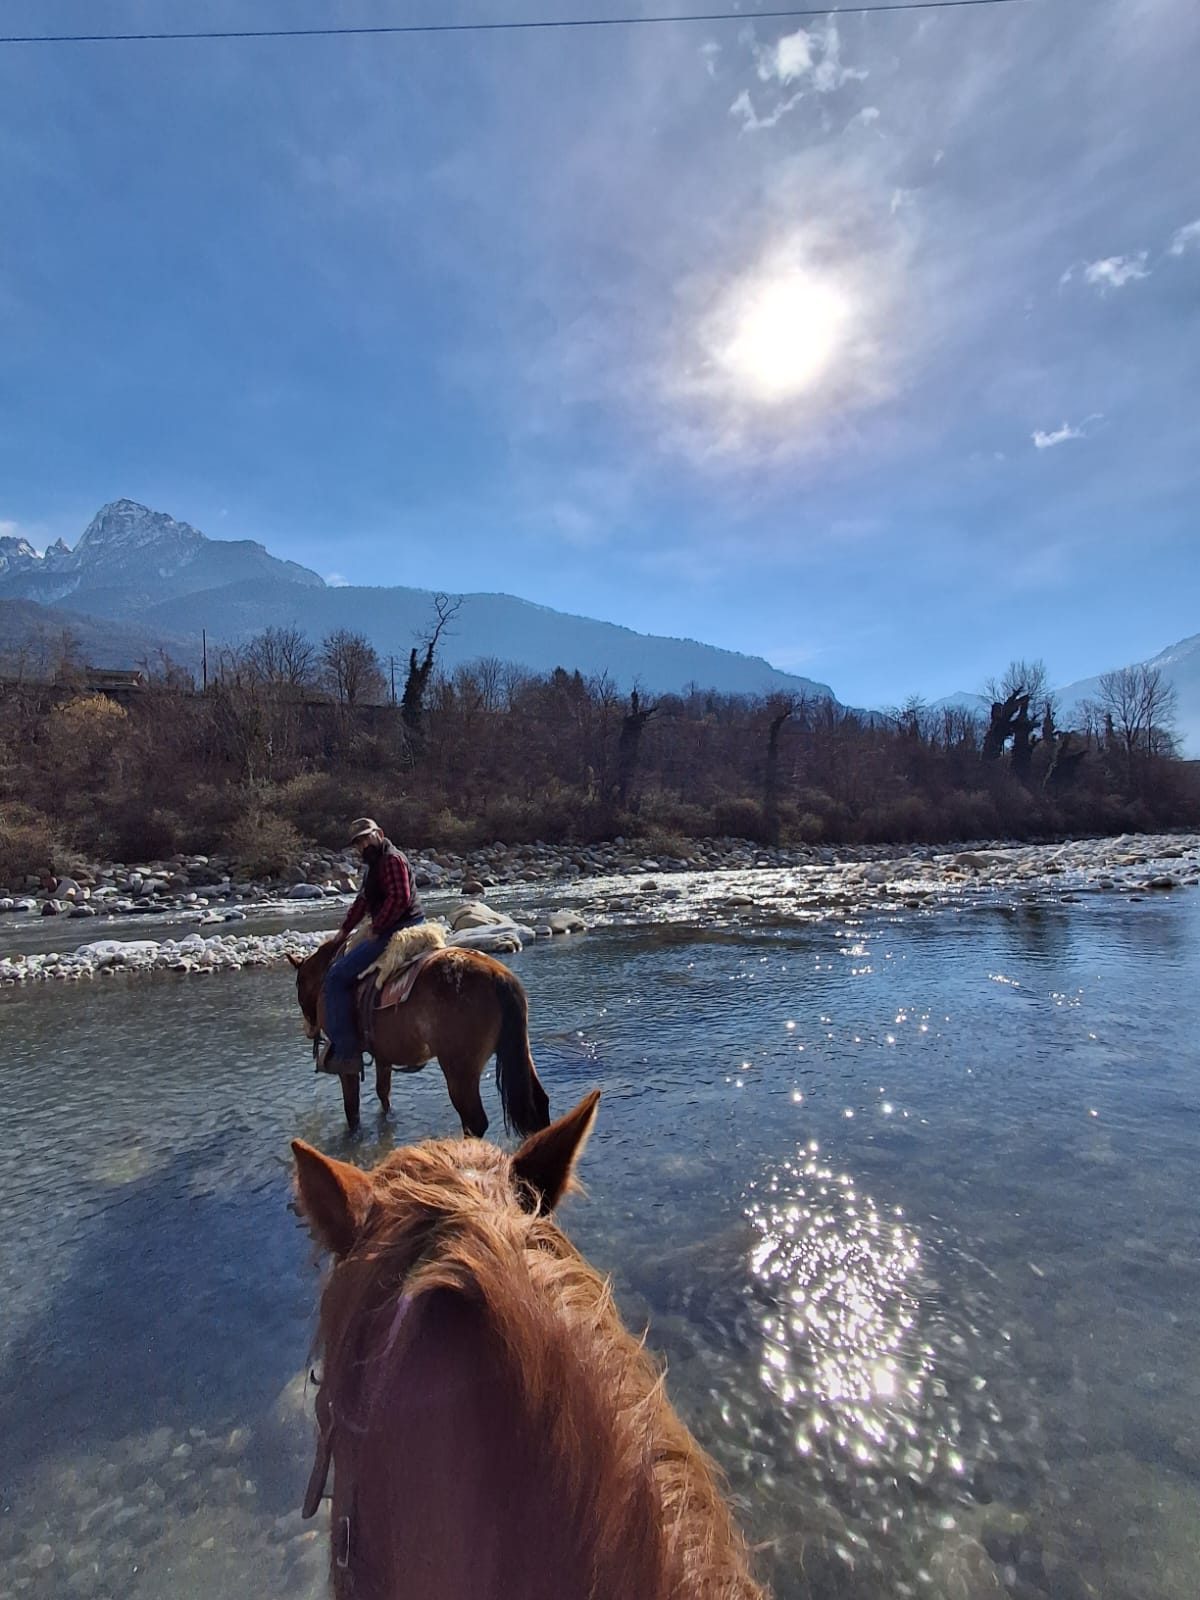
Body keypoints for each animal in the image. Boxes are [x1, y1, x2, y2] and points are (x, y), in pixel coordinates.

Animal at [288, 936, 550, 1138]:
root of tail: (498, 975)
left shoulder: (348, 1067)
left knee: (474, 1122)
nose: (308, 1029)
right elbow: (383, 1093)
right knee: (538, 1103)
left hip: (459, 1070)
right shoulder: (383, 1057)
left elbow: (352, 1110)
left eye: (298, 983)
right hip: (519, 1052)